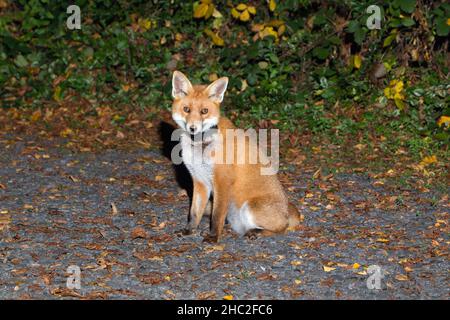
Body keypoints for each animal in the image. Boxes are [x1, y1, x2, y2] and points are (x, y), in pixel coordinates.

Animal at [171, 70, 300, 242]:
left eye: (204, 111)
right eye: (186, 109)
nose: (193, 128)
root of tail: (287, 210)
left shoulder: (222, 181)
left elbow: (216, 215)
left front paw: (213, 237)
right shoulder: (199, 181)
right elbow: (194, 213)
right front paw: (189, 231)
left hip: (250, 207)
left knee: (282, 228)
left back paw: (256, 232)